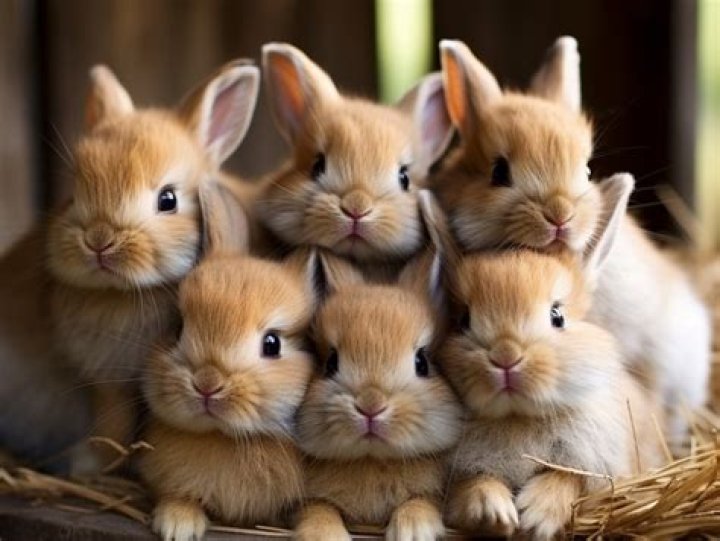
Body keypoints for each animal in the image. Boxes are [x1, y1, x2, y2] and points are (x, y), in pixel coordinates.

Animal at [44, 59, 260, 473]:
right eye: (74, 195)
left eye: (168, 199)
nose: (99, 239)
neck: (119, 295)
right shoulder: (108, 384)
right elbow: (112, 424)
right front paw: (91, 464)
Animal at [294, 196, 463, 541]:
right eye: (330, 363)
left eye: (422, 362)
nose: (371, 406)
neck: (372, 459)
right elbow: (319, 510)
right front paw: (323, 534)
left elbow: (420, 501)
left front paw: (413, 529)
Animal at [438, 191, 666, 540]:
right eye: (463, 321)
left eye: (557, 316)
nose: (506, 357)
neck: (518, 418)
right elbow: (474, 483)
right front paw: (493, 512)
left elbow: (568, 480)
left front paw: (534, 517)